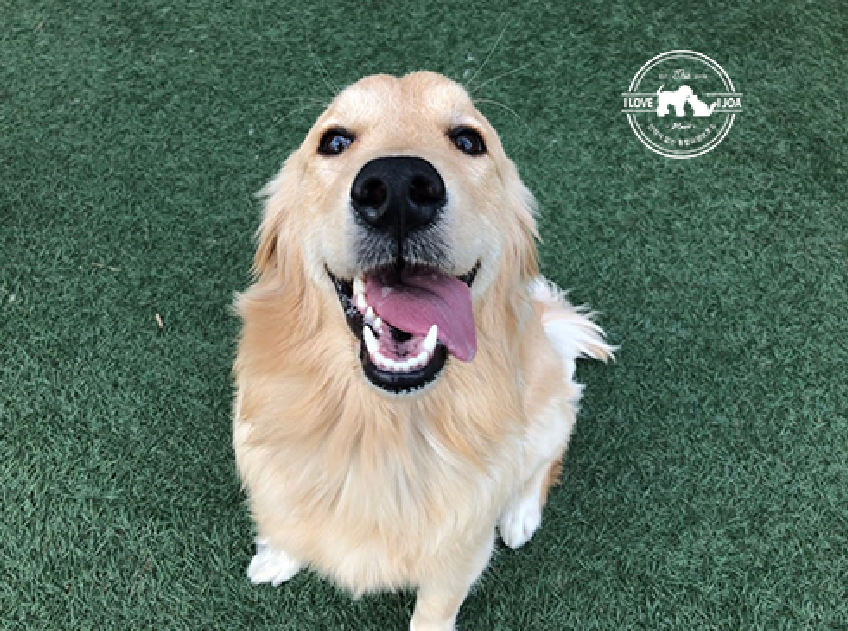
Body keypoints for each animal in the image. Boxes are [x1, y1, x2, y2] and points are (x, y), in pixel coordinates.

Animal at [234, 71, 608, 628]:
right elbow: (286, 520)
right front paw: (276, 555)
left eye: (469, 140)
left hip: (548, 406)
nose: (397, 188)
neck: (381, 427)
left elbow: (432, 613)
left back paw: (520, 516)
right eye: (334, 141)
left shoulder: (459, 554)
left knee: (545, 457)